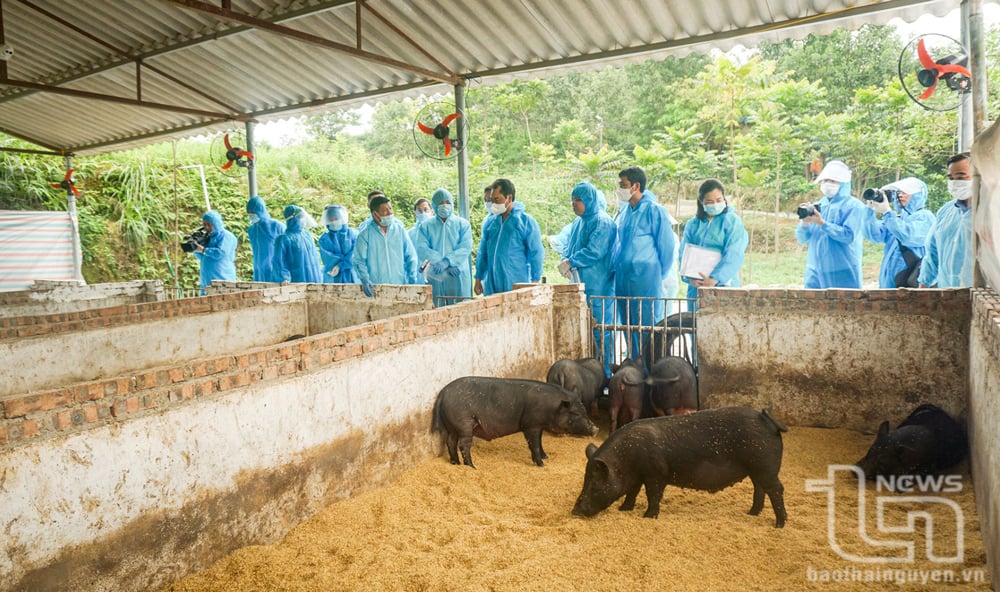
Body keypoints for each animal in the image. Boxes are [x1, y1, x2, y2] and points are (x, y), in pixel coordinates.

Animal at [434, 376, 596, 470]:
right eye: (576, 413)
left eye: (584, 411)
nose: (596, 428)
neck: (551, 408)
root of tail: (442, 394)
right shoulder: (531, 425)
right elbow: (534, 444)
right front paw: (542, 464)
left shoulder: (538, 425)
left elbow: (540, 442)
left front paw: (546, 457)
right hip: (464, 423)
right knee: (463, 445)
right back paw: (472, 467)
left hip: (452, 426)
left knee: (450, 442)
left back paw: (456, 463)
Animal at [576, 408, 784, 528]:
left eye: (594, 485)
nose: (574, 511)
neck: (626, 460)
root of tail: (766, 419)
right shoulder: (638, 476)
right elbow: (632, 492)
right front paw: (624, 509)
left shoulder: (656, 474)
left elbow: (653, 495)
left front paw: (648, 517)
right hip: (756, 470)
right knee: (760, 489)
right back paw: (752, 513)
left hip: (765, 466)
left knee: (776, 489)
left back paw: (779, 524)